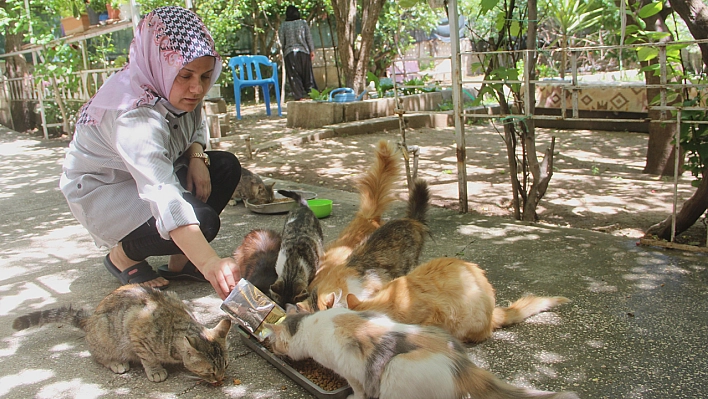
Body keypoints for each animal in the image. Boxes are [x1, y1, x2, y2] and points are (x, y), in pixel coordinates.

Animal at [11, 284, 232, 384]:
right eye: (210, 371)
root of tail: (90, 319)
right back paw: (116, 363)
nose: (221, 379)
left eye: (226, 366)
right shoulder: (136, 332)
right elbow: (148, 358)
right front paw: (155, 370)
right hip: (105, 334)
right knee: (98, 355)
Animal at [266, 308, 580, 399]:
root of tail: (460, 363)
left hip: (396, 374)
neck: (313, 323)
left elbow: (357, 390)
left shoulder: (351, 371)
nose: (271, 348)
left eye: (274, 343)